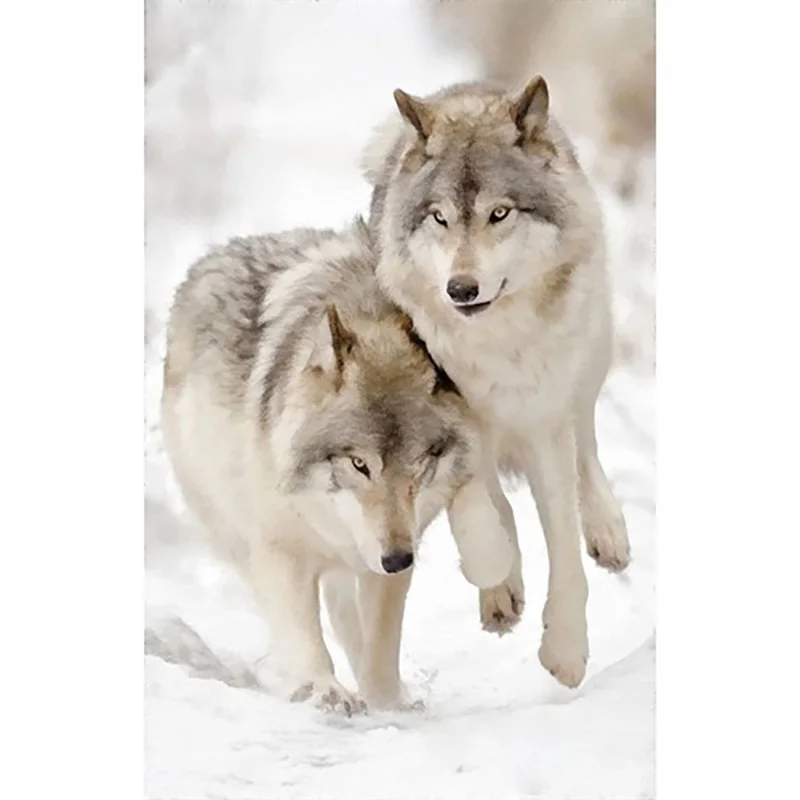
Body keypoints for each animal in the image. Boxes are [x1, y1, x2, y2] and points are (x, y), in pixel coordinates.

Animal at [160, 219, 514, 714]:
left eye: (419, 462)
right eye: (359, 463)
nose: (397, 559)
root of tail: (213, 257)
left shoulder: (395, 547)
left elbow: (380, 644)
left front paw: (386, 701)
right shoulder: (281, 551)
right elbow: (305, 635)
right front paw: (323, 690)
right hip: (234, 531)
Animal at [361, 77, 632, 688]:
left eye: (499, 213)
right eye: (439, 218)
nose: (461, 289)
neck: (496, 348)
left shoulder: (545, 421)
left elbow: (563, 541)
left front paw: (566, 651)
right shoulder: (453, 417)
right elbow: (479, 511)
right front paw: (498, 578)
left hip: (589, 361)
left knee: (588, 450)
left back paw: (608, 533)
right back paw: (503, 590)